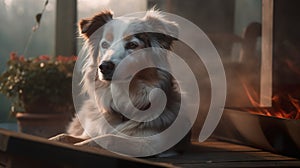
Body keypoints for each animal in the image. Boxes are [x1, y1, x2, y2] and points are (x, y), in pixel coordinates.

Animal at [50, 9, 189, 156]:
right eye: (105, 45)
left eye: (132, 45)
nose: (104, 66)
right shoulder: (89, 133)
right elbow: (63, 136)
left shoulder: (149, 143)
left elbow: (107, 138)